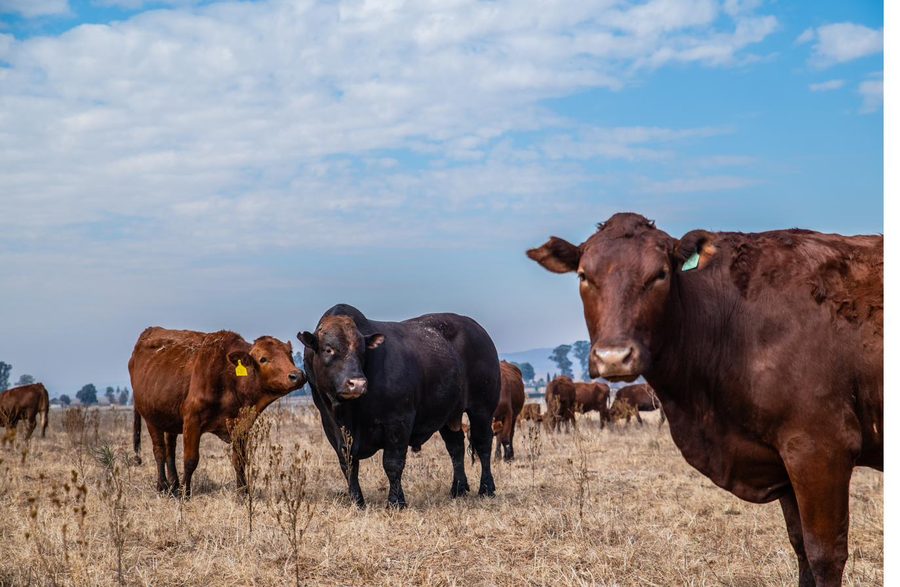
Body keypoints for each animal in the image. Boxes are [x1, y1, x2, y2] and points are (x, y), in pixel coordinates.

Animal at [129, 327, 304, 496]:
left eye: (289, 354)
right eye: (263, 359)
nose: (297, 375)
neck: (229, 379)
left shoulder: (241, 426)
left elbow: (239, 461)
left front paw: (243, 494)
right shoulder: (192, 421)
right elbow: (190, 460)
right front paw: (185, 494)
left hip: (169, 419)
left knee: (170, 450)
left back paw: (174, 485)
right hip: (151, 418)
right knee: (159, 451)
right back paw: (163, 486)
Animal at [299, 304, 500, 508]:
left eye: (362, 351)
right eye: (328, 349)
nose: (357, 383)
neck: (349, 412)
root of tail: (477, 329)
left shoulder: (398, 421)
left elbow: (392, 463)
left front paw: (396, 501)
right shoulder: (332, 426)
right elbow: (348, 464)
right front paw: (357, 501)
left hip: (482, 409)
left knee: (483, 444)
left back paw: (486, 488)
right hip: (448, 414)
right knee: (456, 447)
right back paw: (458, 489)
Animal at [528, 212, 882, 586]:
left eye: (660, 274)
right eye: (584, 275)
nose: (614, 357)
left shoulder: (820, 449)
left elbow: (824, 556)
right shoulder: (785, 463)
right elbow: (800, 549)